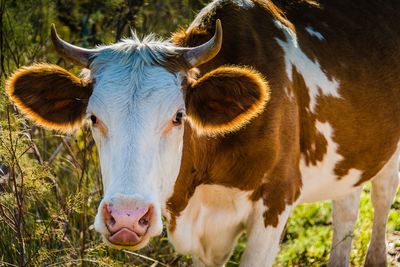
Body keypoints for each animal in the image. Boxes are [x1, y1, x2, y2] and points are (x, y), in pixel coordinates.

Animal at [5, 0, 400, 266]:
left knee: (382, 199)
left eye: (179, 116)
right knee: (346, 207)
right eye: (93, 118)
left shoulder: (277, 199)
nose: (127, 219)